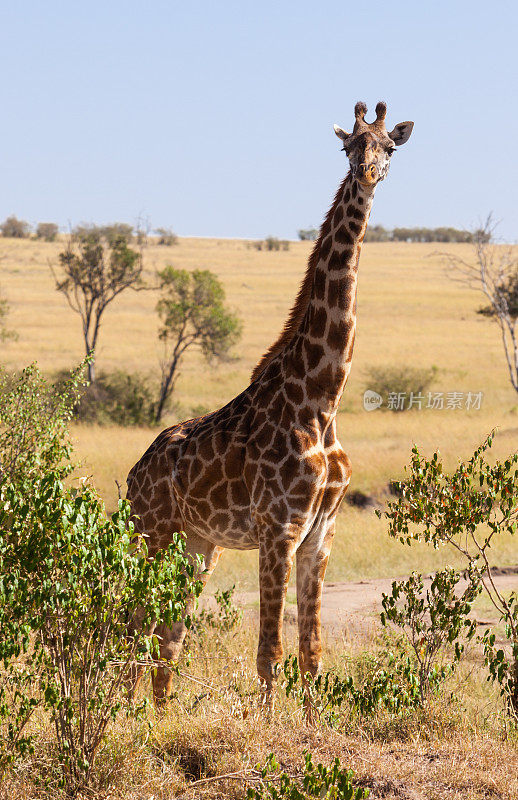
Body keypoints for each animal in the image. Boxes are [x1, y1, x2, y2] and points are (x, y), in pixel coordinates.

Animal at [127, 101, 414, 708]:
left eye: (389, 147)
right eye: (348, 144)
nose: (367, 173)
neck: (323, 399)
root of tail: (135, 473)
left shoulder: (320, 535)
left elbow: (311, 655)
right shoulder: (278, 527)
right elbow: (270, 655)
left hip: (197, 544)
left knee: (167, 638)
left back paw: (153, 717)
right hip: (152, 533)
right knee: (133, 623)